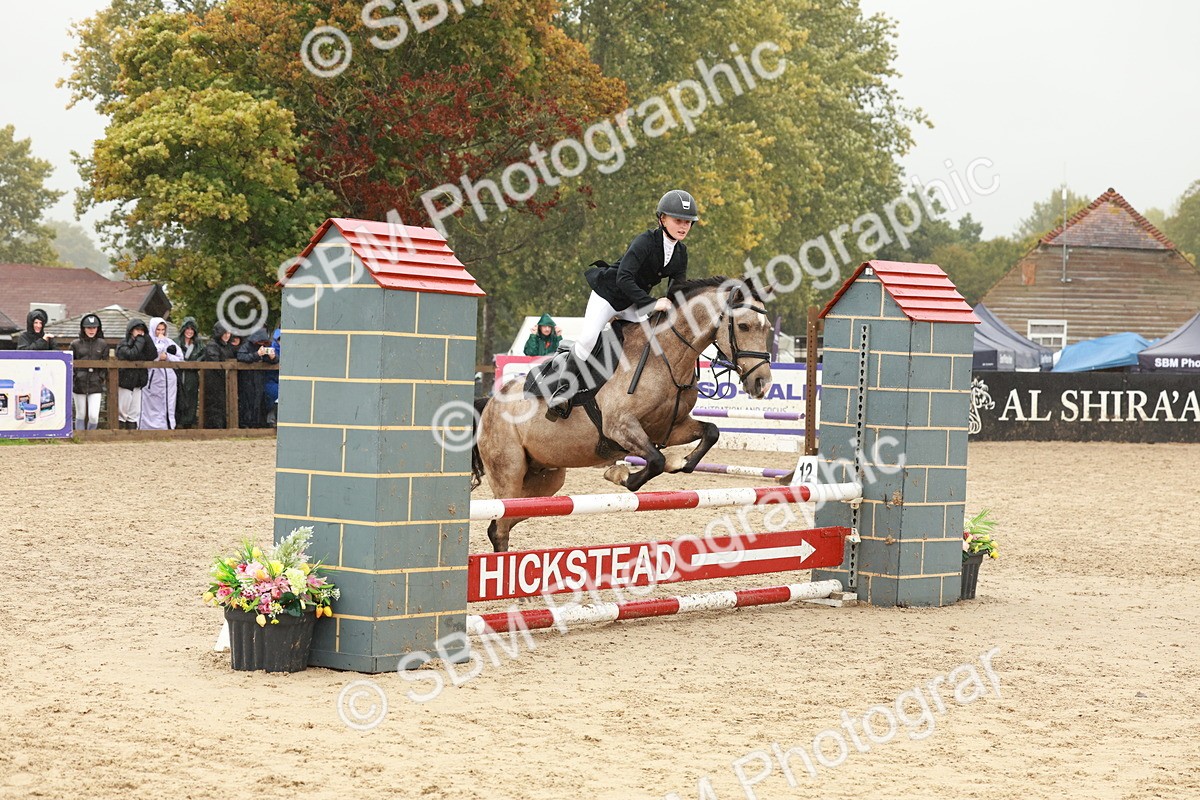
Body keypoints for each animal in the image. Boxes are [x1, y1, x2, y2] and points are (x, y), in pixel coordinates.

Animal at [471, 276, 775, 552]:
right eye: (744, 326)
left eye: (767, 328)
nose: (761, 383)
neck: (664, 358)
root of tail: (490, 404)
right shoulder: (620, 427)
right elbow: (655, 461)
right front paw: (619, 474)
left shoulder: (670, 428)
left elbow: (710, 432)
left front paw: (682, 462)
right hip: (510, 472)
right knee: (500, 525)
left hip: (546, 479)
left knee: (507, 519)